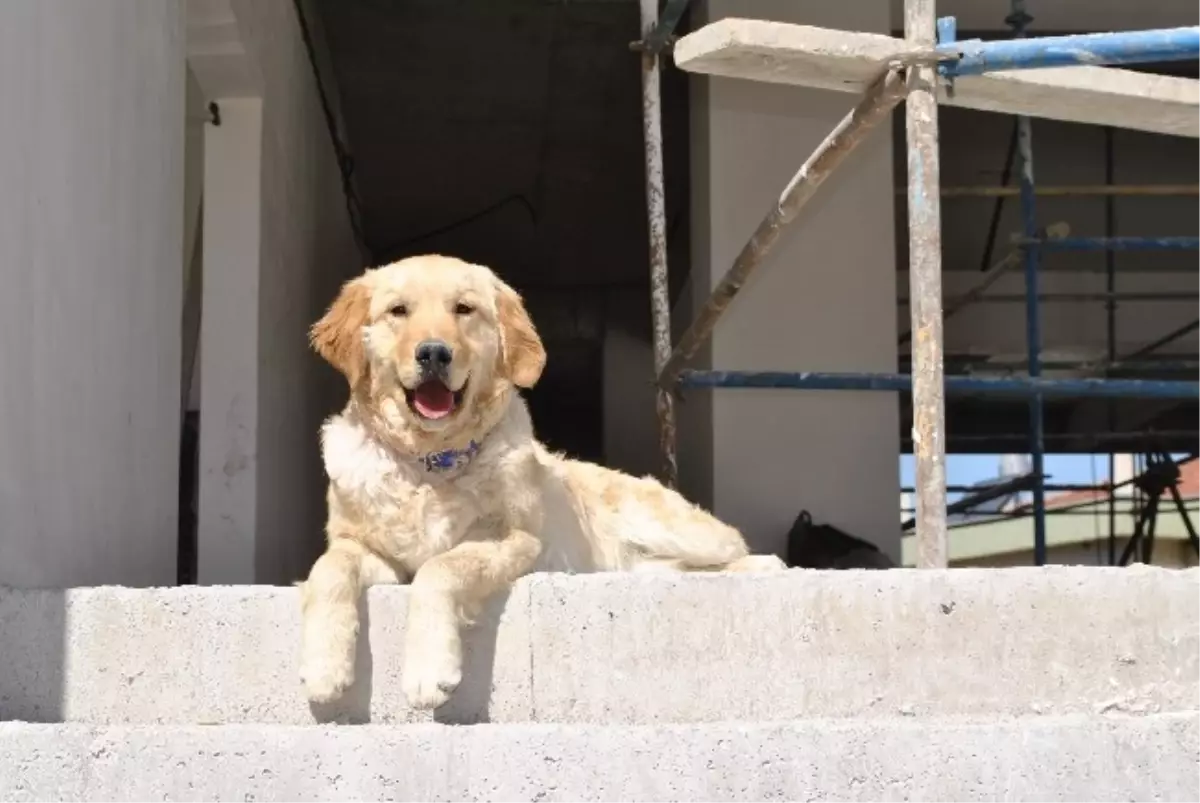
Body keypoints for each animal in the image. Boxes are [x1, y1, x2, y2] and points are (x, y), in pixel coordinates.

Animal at [298, 252, 782, 705]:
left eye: (464, 309)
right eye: (398, 310)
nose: (434, 353)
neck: (428, 461)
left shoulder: (514, 539)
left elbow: (441, 566)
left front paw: (428, 670)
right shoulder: (364, 548)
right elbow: (328, 569)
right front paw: (323, 667)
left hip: (674, 527)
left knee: (733, 549)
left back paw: (766, 566)